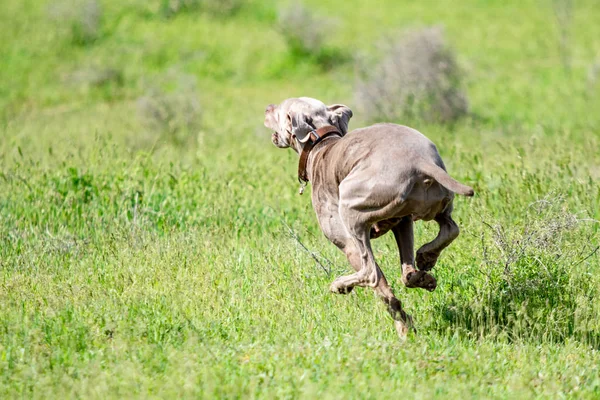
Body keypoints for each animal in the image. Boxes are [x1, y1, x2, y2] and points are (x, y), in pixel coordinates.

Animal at [264, 97, 474, 338]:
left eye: (280, 110)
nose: (267, 107)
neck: (321, 144)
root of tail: (420, 161)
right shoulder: (402, 221)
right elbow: (401, 272)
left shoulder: (348, 246)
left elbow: (383, 290)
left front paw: (403, 327)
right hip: (436, 202)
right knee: (449, 229)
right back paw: (426, 260)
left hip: (350, 207)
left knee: (369, 272)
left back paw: (340, 284)